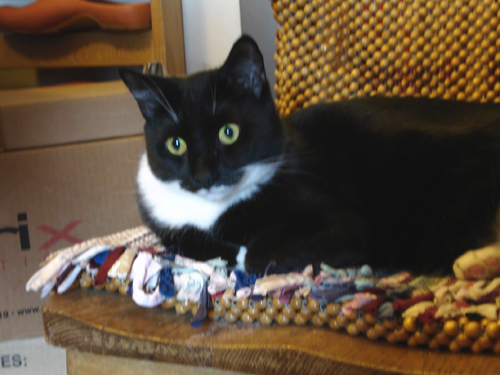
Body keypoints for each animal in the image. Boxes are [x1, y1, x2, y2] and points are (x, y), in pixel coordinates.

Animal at [120, 36, 500, 276]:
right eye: (176, 144)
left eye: (229, 132)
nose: (204, 177)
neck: (211, 212)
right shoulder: (168, 225)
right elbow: (187, 243)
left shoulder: (344, 223)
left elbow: (256, 252)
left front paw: (245, 253)